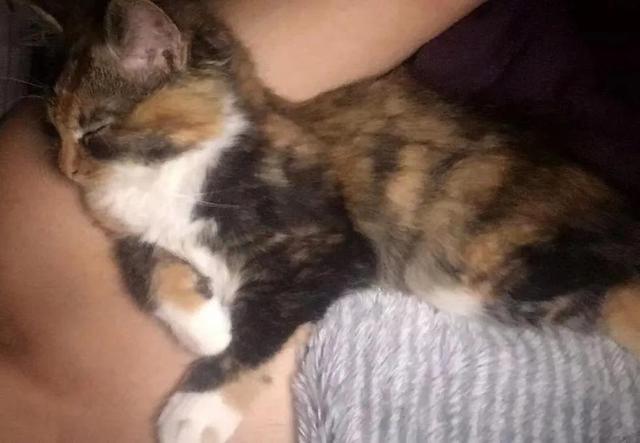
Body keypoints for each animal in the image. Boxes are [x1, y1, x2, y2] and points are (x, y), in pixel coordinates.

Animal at [35, 0, 640, 441]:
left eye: (94, 131)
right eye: (53, 130)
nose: (65, 169)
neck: (175, 170)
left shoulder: (331, 246)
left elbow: (262, 326)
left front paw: (198, 407)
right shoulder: (138, 238)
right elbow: (150, 270)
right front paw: (205, 328)